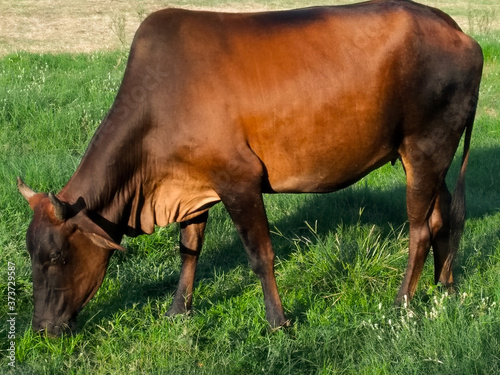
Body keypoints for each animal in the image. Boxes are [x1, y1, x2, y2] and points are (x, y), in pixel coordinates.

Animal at [18, 0, 480, 336]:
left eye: (56, 255)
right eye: (29, 252)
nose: (41, 329)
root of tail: (460, 32)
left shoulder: (238, 179)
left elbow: (260, 255)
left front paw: (278, 323)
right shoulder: (195, 184)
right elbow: (189, 249)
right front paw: (177, 311)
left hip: (425, 146)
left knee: (420, 228)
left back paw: (402, 301)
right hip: (431, 156)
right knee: (443, 217)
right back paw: (445, 285)